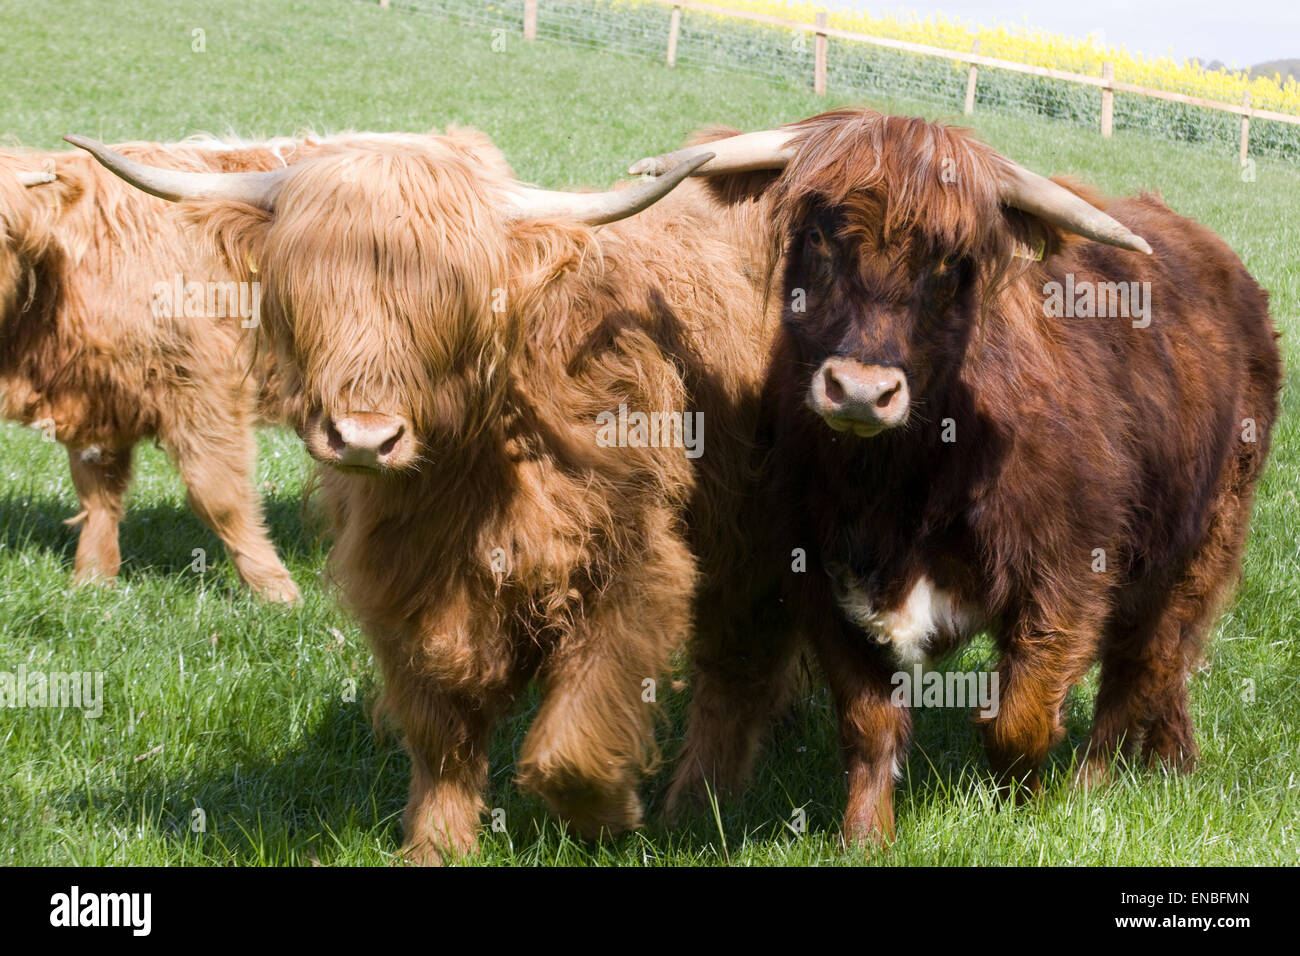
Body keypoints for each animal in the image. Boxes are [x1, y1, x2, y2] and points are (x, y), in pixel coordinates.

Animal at [73, 128, 790, 868]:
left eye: (450, 300)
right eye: (307, 289)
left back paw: (701, 800)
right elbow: (440, 732)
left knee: (737, 673)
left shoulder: (636, 566)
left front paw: (610, 816)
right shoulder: (404, 586)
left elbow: (577, 735)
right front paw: (438, 843)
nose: (364, 438)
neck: (474, 479)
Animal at [634, 111, 1284, 842]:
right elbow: (868, 722)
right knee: (1162, 665)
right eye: (820, 237)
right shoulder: (819, 577)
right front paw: (866, 835)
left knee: (1144, 662)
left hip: (1201, 542)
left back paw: (1096, 784)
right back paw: (1176, 761)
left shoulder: (1068, 576)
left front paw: (1029, 810)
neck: (898, 484)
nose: (861, 391)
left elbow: (1019, 719)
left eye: (949, 263)